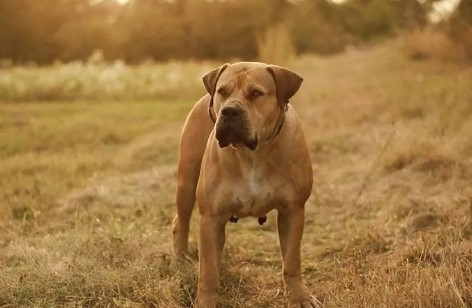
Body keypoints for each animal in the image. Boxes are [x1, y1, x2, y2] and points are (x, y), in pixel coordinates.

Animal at [171, 61, 318, 306]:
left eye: (256, 93)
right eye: (223, 91)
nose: (229, 110)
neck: (252, 154)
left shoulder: (293, 211)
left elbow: (291, 262)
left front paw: (299, 297)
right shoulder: (210, 218)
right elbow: (208, 272)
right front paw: (205, 302)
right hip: (186, 183)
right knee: (180, 224)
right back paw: (179, 263)